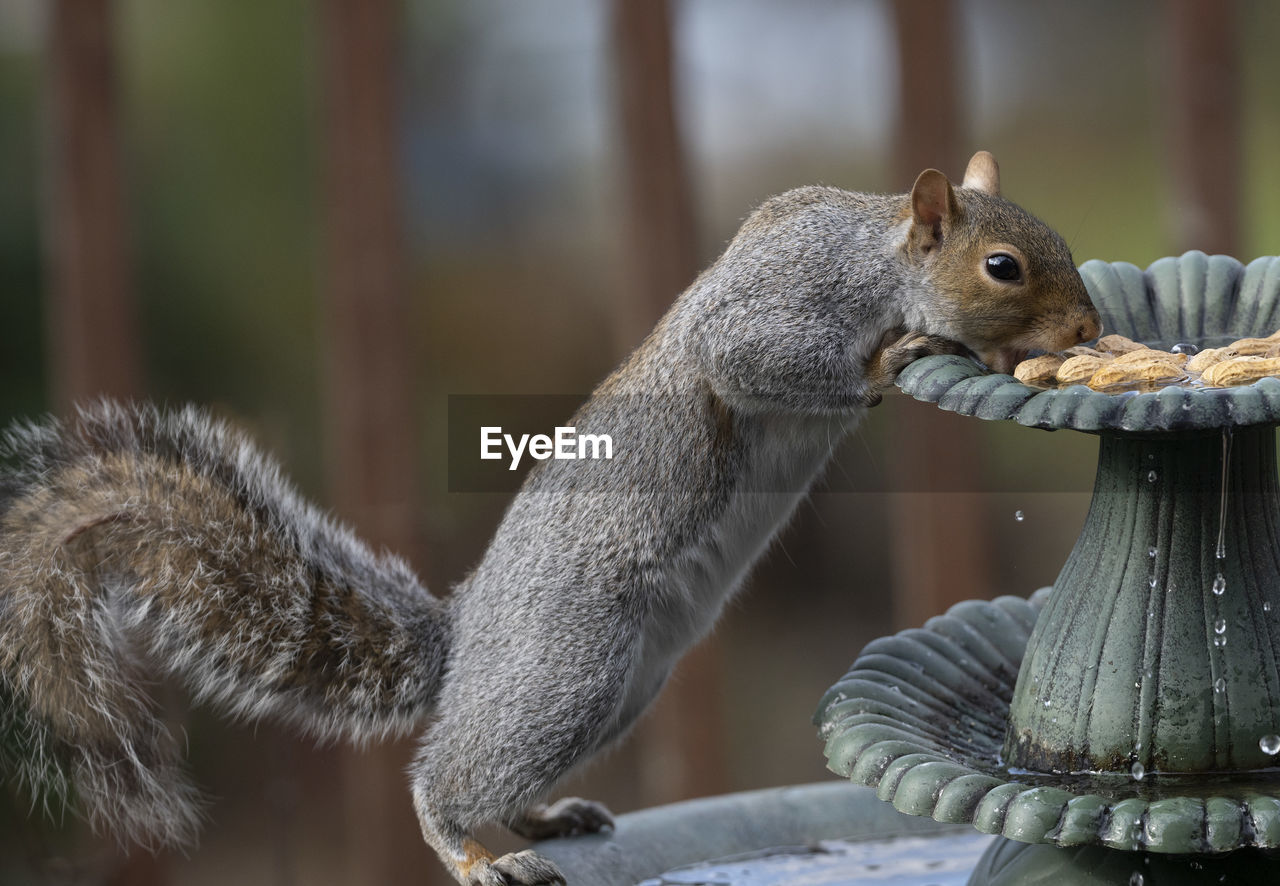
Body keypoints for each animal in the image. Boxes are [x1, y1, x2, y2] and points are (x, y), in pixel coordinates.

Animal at [0, 152, 1100, 886]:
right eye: (1003, 266)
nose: (1088, 328)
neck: (872, 253)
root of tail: (467, 631)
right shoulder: (776, 308)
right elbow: (757, 358)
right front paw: (896, 356)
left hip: (624, 685)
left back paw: (541, 819)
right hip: (570, 665)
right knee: (442, 778)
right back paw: (467, 851)